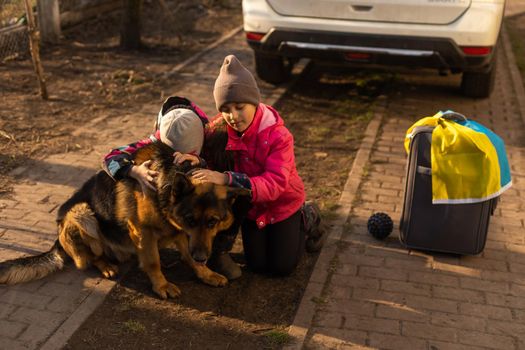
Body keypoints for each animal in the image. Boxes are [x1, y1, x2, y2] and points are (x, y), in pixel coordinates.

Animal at [0, 141, 249, 300]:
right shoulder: (143, 231)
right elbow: (153, 262)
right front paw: (161, 285)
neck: (165, 184)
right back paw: (106, 266)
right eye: (191, 220)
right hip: (81, 214)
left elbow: (188, 255)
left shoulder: (179, 232)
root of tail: (57, 239)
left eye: (212, 222)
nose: (202, 256)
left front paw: (205, 273)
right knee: (88, 258)